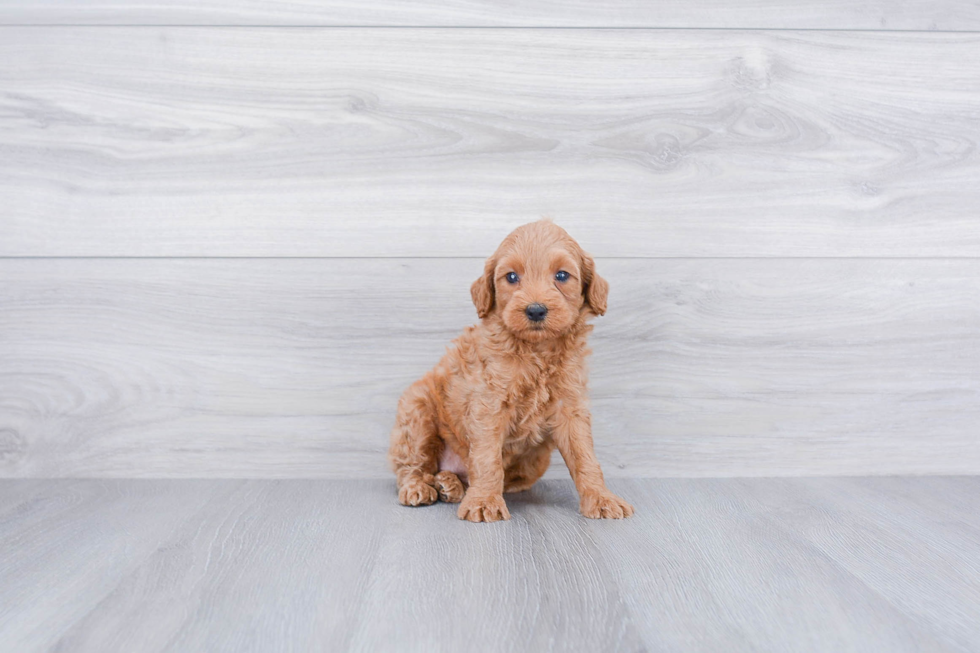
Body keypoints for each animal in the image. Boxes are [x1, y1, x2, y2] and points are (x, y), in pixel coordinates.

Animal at [386, 222, 632, 524]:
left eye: (562, 275)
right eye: (512, 277)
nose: (536, 310)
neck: (536, 350)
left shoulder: (570, 405)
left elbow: (584, 455)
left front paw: (601, 498)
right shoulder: (489, 403)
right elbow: (486, 458)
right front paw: (483, 502)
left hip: (536, 462)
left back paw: (450, 484)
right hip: (417, 411)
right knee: (412, 464)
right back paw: (420, 487)